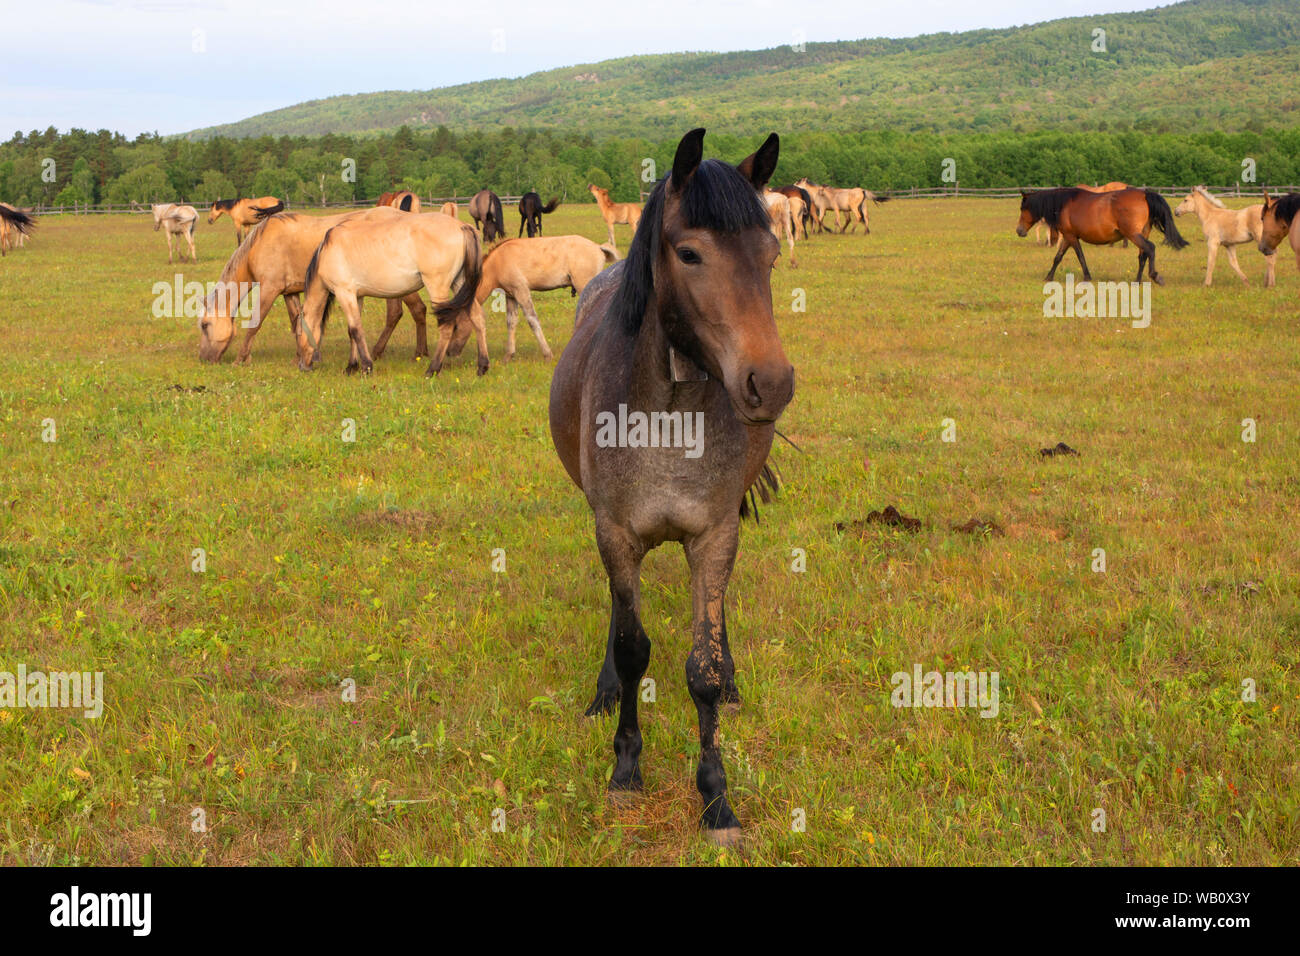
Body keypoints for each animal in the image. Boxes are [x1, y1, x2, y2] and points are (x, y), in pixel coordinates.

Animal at [198, 209, 429, 364]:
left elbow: (255, 323)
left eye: (204, 325)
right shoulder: (289, 292)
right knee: (402, 313)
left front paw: (241, 359)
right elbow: (297, 323)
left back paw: (415, 352)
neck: (261, 243)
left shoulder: (269, 289)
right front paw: (299, 357)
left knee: (414, 310)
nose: (203, 359)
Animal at [296, 206, 489, 377]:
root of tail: (462, 226)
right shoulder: (356, 296)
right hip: (460, 284)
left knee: (447, 326)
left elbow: (355, 330)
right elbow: (353, 331)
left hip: (438, 287)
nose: (302, 366)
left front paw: (366, 367)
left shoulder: (345, 293)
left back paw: (432, 369)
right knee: (477, 317)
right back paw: (482, 366)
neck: (327, 250)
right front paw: (352, 367)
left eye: (298, 334)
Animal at [476, 235, 617, 360]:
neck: (498, 261)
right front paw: (509, 355)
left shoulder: (521, 291)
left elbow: (532, 320)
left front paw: (547, 354)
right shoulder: (511, 296)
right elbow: (511, 322)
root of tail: (597, 247)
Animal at [549, 128, 795, 845]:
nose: (771, 382)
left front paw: (715, 796)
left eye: (771, 254)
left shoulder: (713, 533)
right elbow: (634, 648)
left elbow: (702, 667)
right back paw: (604, 691)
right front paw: (626, 769)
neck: (665, 416)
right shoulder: (616, 532)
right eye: (689, 253)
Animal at [1016, 187, 1188, 284]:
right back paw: (1137, 281)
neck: (1063, 204)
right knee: (1143, 255)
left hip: (1133, 235)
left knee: (1150, 249)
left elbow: (1080, 256)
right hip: (1142, 233)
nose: (1019, 230)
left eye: (1023, 208)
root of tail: (1145, 194)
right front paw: (1048, 277)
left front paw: (1087, 277)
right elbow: (1058, 257)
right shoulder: (1068, 237)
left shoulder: (1071, 237)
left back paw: (1155, 276)